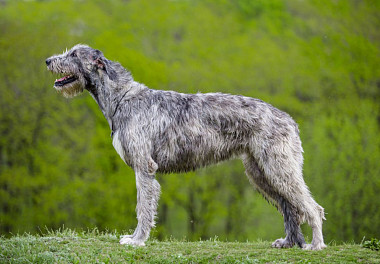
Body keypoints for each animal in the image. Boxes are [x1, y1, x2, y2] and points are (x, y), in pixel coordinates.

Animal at [46, 44, 326, 250]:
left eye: (74, 54)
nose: (48, 61)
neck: (122, 98)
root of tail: (289, 119)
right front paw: (136, 238)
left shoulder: (144, 167)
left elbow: (143, 207)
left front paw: (136, 240)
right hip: (261, 172)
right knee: (290, 207)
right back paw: (289, 242)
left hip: (279, 167)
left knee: (312, 208)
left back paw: (315, 245)